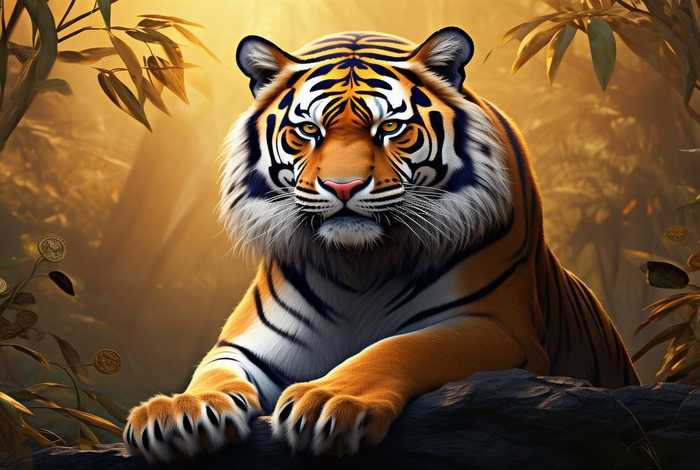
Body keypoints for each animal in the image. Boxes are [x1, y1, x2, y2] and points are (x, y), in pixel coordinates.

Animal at [123, 27, 640, 463]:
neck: (360, 265)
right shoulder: (250, 345)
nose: (343, 187)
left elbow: (397, 348)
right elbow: (215, 369)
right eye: (308, 131)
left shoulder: (496, 326)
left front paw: (328, 399)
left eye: (389, 128)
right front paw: (178, 411)